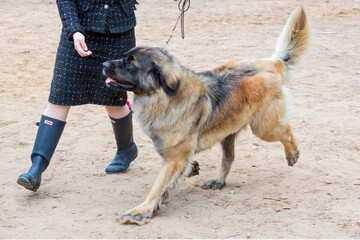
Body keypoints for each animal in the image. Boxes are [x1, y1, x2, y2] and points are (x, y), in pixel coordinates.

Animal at [103, 6, 310, 225]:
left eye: (130, 63)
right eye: (123, 57)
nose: (104, 63)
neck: (164, 96)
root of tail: (271, 64)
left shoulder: (174, 158)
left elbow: (157, 186)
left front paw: (141, 211)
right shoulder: (176, 155)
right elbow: (173, 180)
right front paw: (187, 174)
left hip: (263, 128)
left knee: (286, 132)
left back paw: (292, 154)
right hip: (228, 131)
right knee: (229, 158)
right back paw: (218, 180)